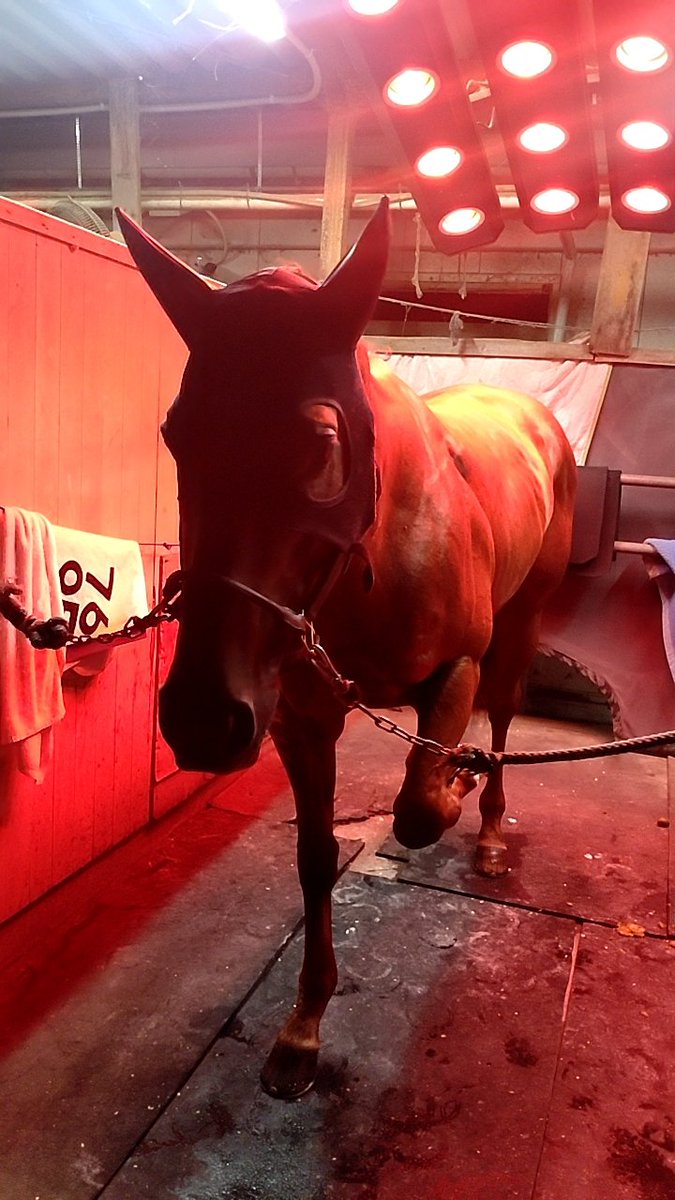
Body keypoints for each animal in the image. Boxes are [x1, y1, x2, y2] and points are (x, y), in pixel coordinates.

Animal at [117, 199, 577, 1100]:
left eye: (323, 441)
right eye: (175, 434)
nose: (200, 720)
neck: (375, 558)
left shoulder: (455, 671)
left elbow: (418, 808)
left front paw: (455, 786)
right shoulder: (297, 713)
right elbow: (315, 852)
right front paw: (302, 1025)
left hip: (522, 619)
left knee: (505, 719)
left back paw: (489, 824)